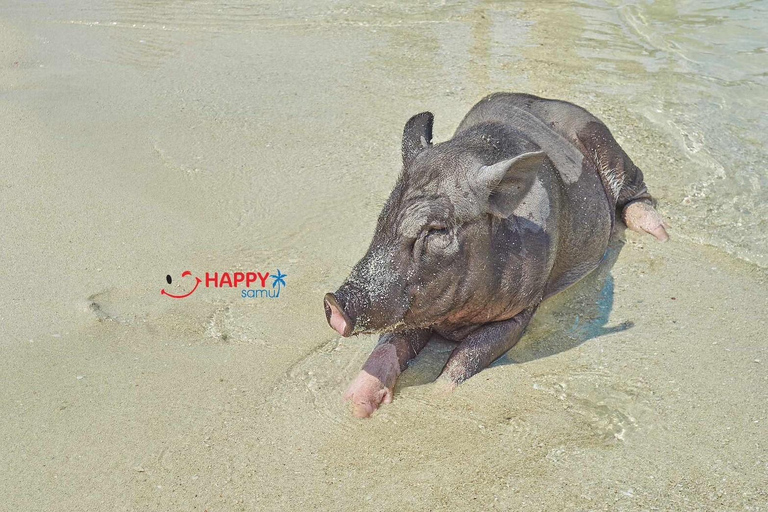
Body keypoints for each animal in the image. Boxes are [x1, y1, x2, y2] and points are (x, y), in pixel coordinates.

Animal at [324, 92, 668, 418]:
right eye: (384, 217)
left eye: (436, 229)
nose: (334, 301)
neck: (453, 319)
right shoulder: (413, 305)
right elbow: (390, 343)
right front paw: (355, 406)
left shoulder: (520, 311)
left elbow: (466, 358)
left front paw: (435, 397)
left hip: (606, 145)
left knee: (636, 190)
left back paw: (660, 234)